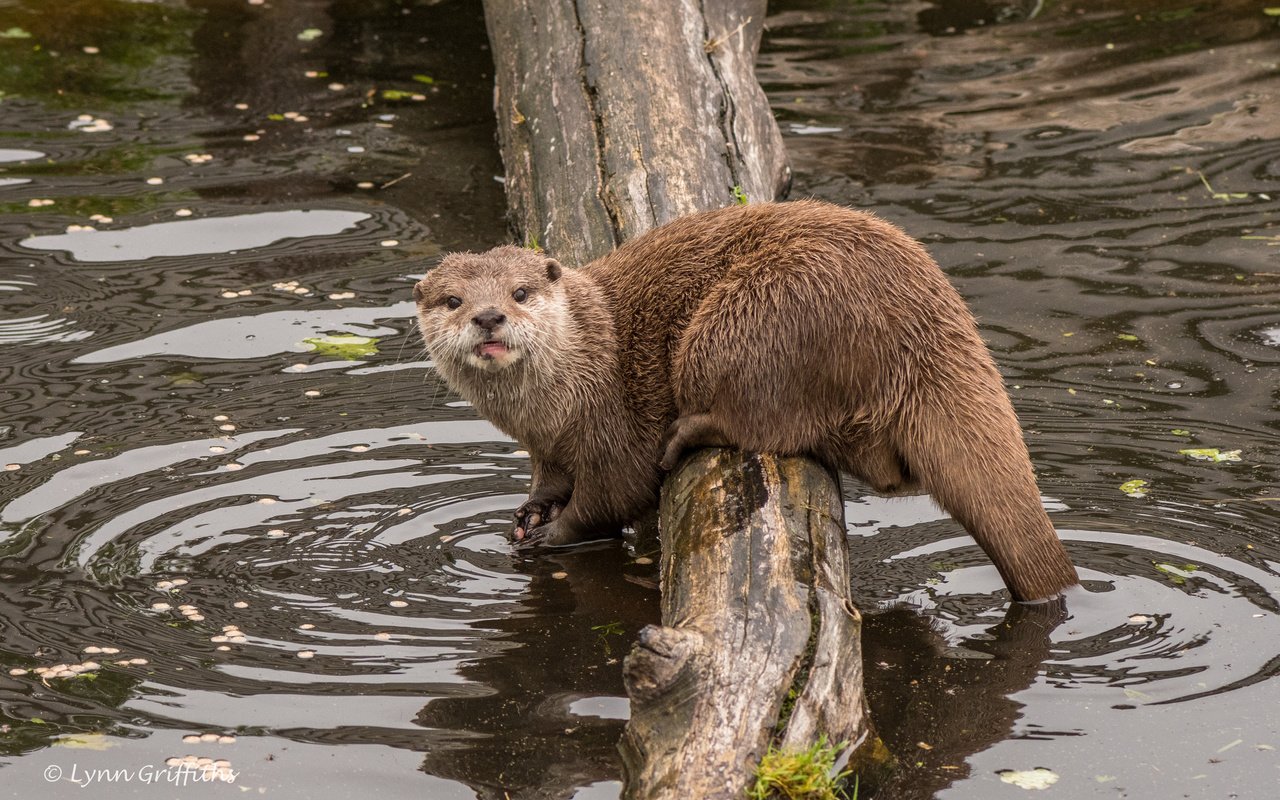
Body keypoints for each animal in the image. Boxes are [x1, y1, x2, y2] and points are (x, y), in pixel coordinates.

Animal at [414, 199, 1075, 599]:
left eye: (521, 292)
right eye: (453, 300)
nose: (489, 315)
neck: (565, 394)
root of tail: (923, 320)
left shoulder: (611, 421)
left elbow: (615, 492)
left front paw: (552, 534)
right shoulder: (545, 444)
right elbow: (550, 478)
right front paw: (530, 511)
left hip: (750, 318)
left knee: (771, 423)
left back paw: (688, 433)